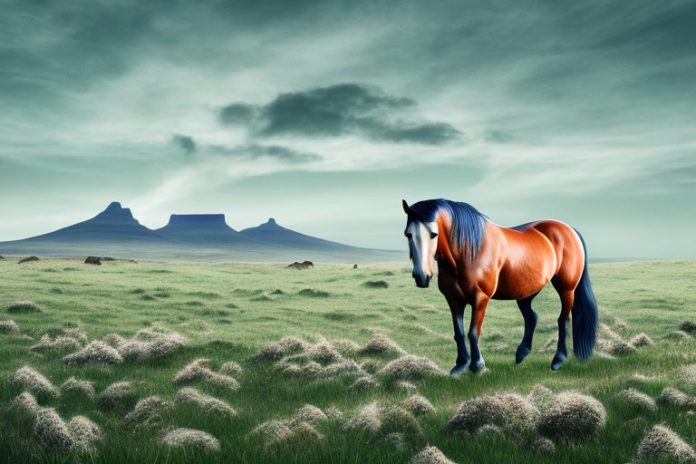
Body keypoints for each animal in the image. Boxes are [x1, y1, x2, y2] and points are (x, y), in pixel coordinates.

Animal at [402, 198, 598, 375]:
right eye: (408, 234)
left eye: (433, 234)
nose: (421, 277)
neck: (468, 251)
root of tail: (569, 230)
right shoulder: (453, 299)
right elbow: (459, 332)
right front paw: (460, 365)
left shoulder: (480, 298)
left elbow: (473, 332)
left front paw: (477, 365)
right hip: (527, 290)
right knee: (532, 317)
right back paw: (521, 354)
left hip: (567, 288)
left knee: (563, 319)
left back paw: (558, 360)